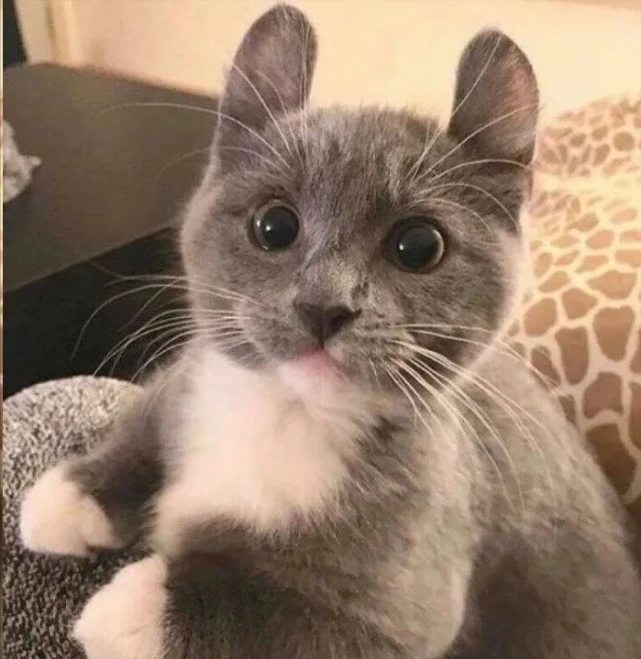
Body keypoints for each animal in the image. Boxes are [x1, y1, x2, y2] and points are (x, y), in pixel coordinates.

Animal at [19, 4, 641, 658]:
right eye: (274, 225)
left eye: (418, 245)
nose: (325, 306)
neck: (285, 411)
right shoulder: (189, 373)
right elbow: (149, 415)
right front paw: (73, 495)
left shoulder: (405, 595)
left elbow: (270, 610)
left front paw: (130, 610)